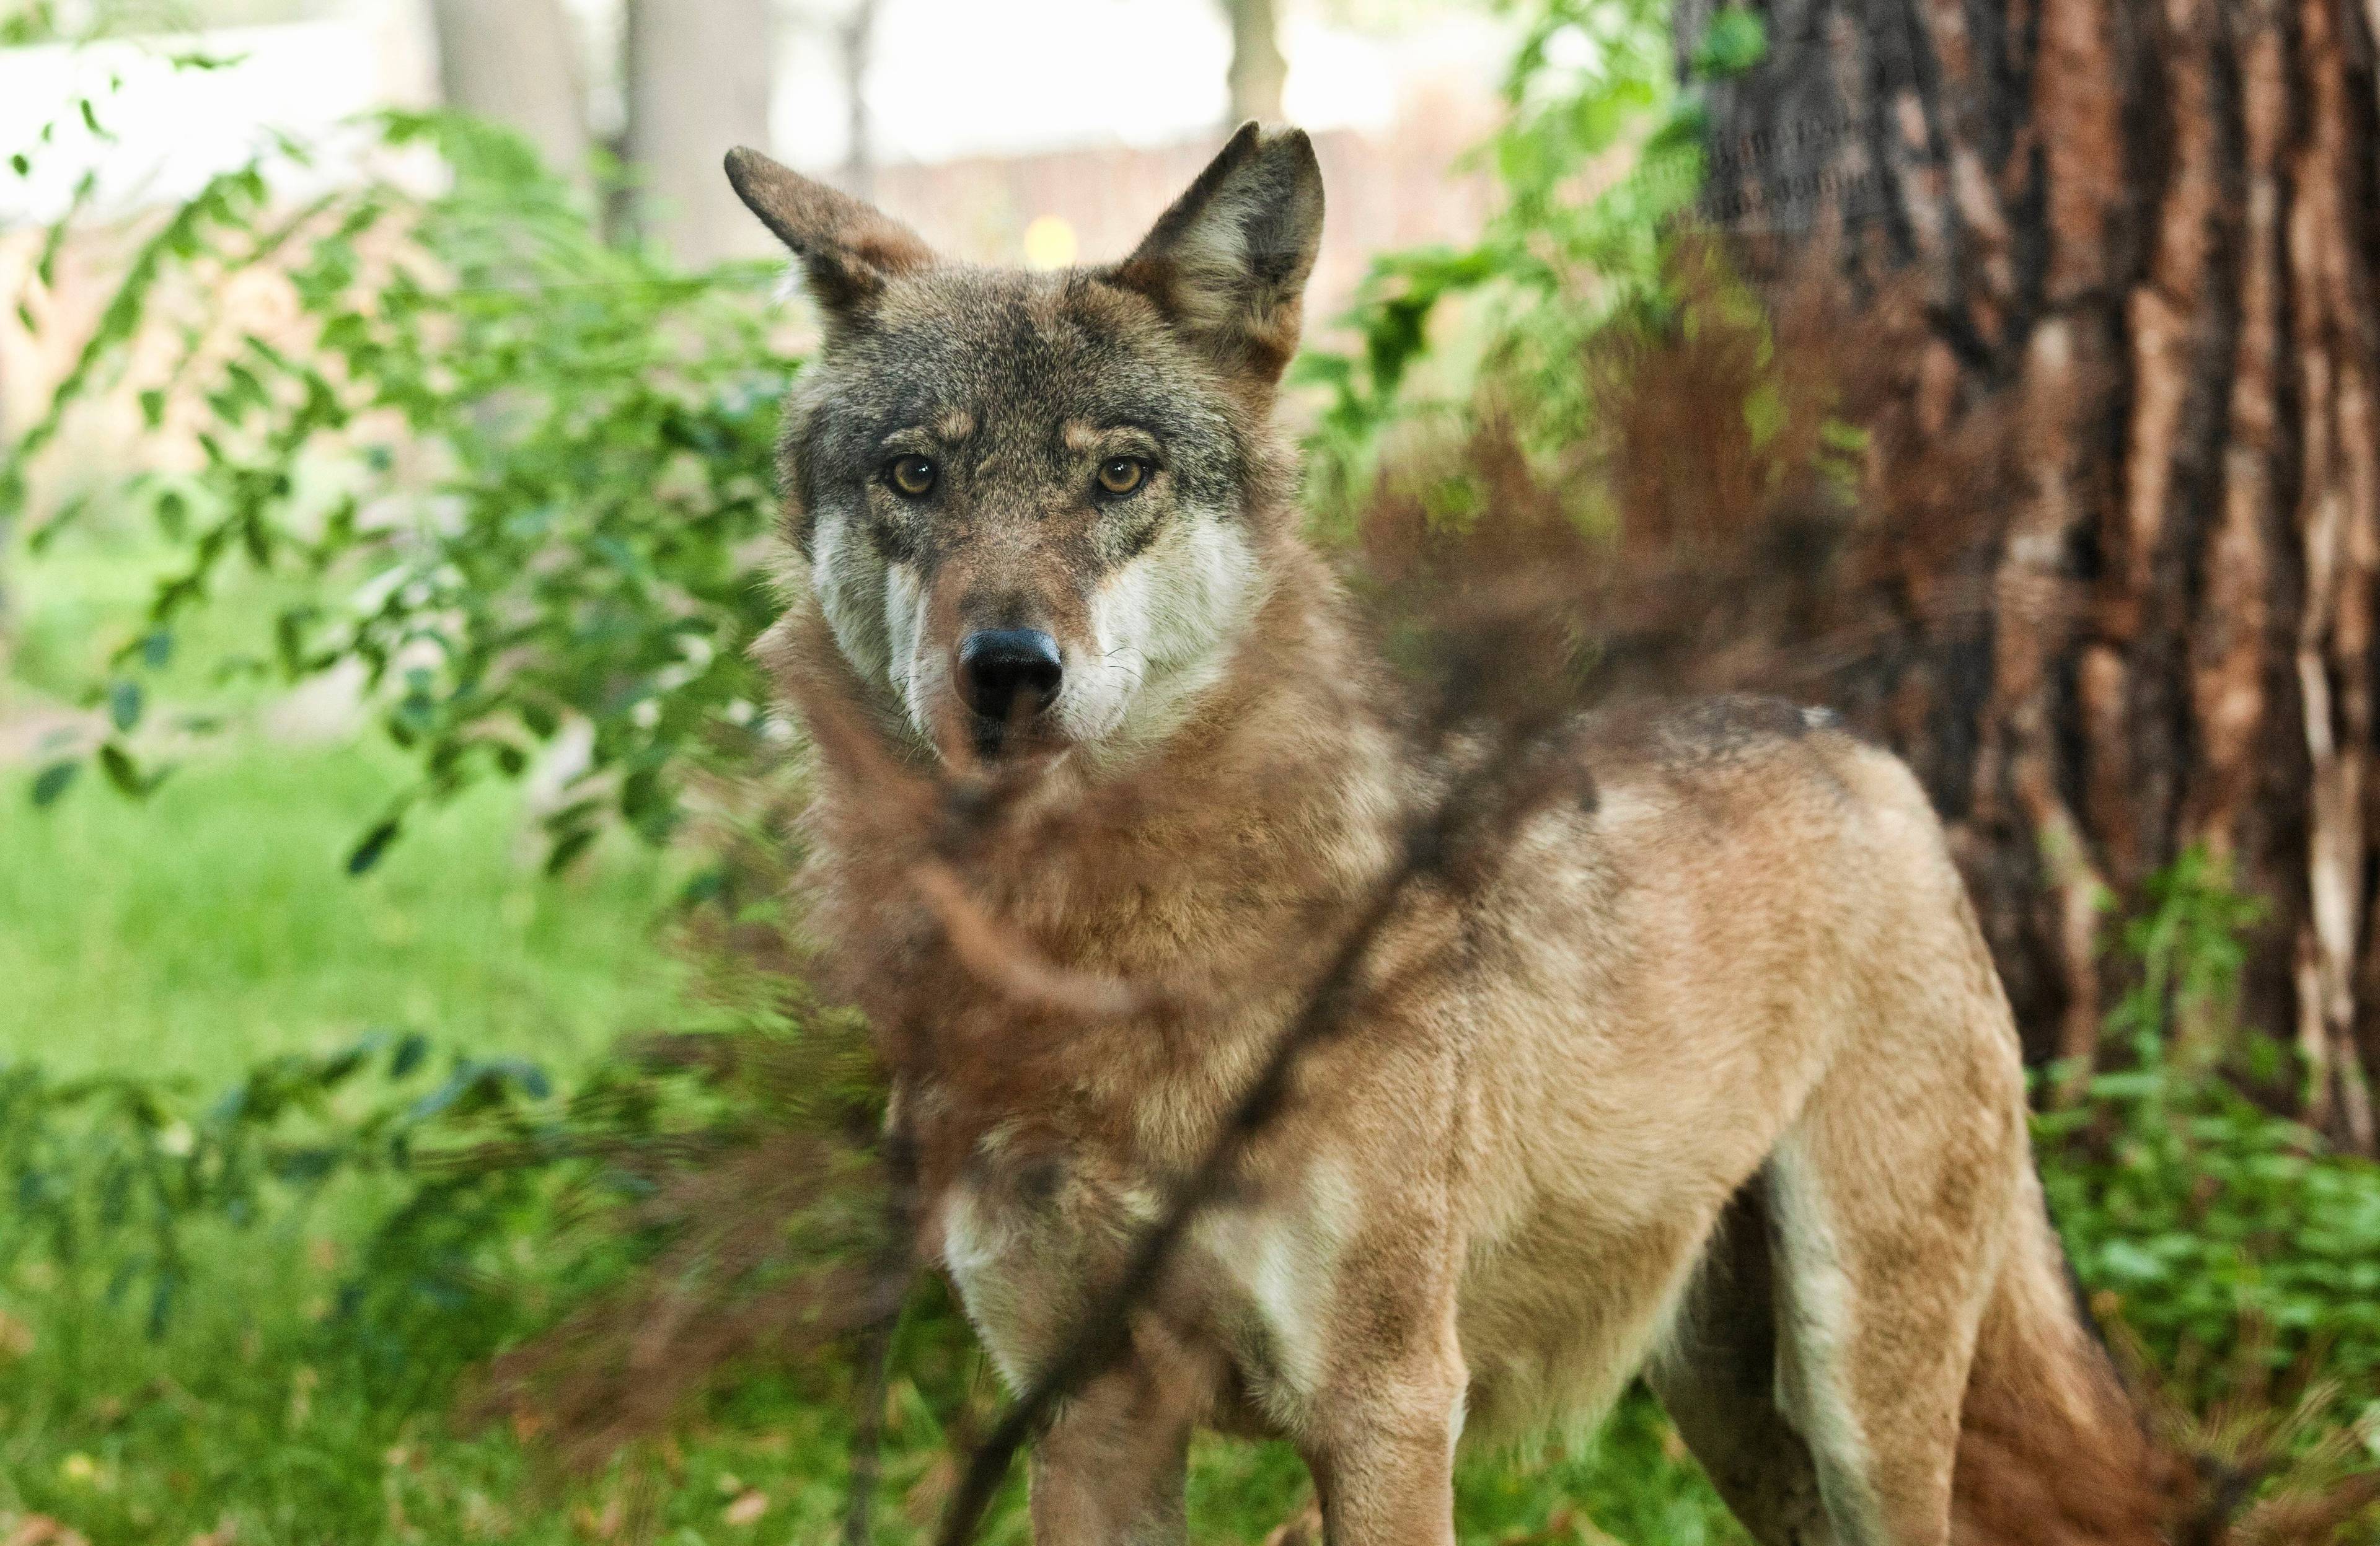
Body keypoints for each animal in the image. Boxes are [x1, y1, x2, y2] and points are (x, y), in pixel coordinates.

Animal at [714, 126, 2171, 1531]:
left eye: (1120, 473)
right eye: (915, 475)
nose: (1009, 669)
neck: (1099, 965)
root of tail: (1851, 740)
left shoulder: (1390, 1406)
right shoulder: (1086, 1416)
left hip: (1862, 1396)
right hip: (1736, 1417)